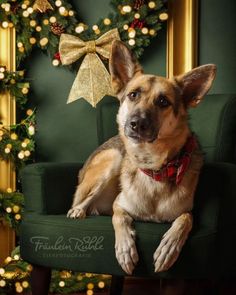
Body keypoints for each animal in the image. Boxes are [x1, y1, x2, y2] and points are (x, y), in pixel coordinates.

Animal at [67, 40, 217, 276]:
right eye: (133, 95)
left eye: (163, 101)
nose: (136, 123)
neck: (154, 167)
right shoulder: (119, 204)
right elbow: (119, 218)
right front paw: (125, 248)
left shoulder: (186, 212)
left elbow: (186, 219)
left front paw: (169, 247)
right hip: (112, 160)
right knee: (84, 199)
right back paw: (78, 210)